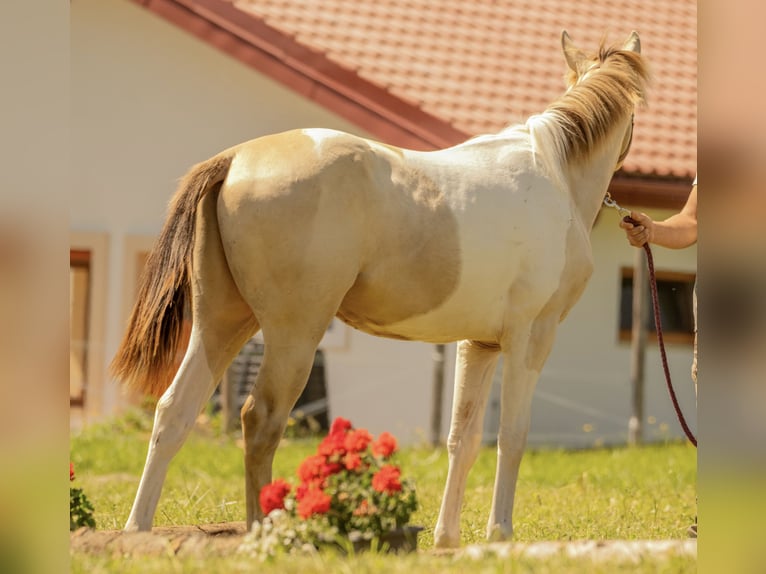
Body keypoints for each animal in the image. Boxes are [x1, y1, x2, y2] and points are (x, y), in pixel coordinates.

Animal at [111, 30, 647, 547]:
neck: (555, 174)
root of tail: (236, 158)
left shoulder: (479, 345)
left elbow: (463, 439)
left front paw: (447, 539)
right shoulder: (530, 338)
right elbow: (511, 435)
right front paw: (500, 533)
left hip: (220, 324)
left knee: (174, 412)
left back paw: (138, 531)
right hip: (293, 335)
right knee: (260, 419)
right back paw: (266, 531)